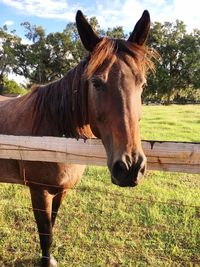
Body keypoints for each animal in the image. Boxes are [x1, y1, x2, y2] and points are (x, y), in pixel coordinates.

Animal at [0, 9, 154, 266]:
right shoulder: (39, 191)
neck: (54, 136)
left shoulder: (61, 191)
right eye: (96, 82)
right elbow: (45, 232)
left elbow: (51, 226)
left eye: (141, 83)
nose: (130, 167)